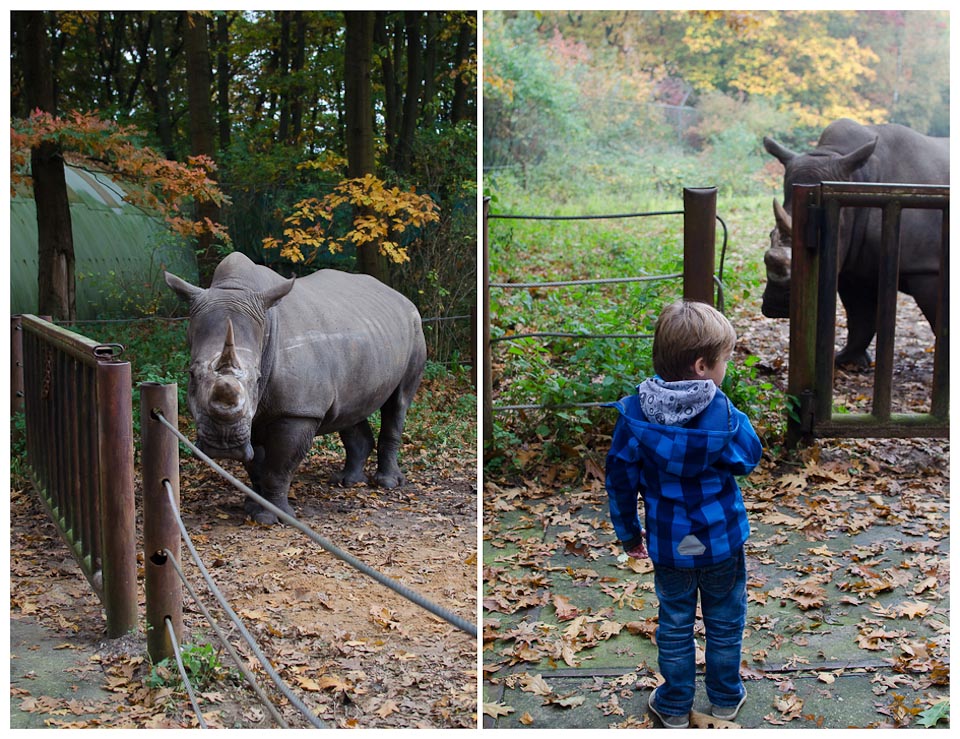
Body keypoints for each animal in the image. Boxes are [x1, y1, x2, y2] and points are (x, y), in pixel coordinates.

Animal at [165, 254, 424, 528]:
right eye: (191, 374)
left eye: (258, 378)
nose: (223, 443)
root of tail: (398, 295)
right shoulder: (256, 416)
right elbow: (256, 466)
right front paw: (252, 508)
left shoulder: (298, 411)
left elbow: (278, 467)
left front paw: (272, 518)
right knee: (351, 408)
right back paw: (347, 481)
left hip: (415, 327)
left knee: (398, 403)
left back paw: (387, 483)